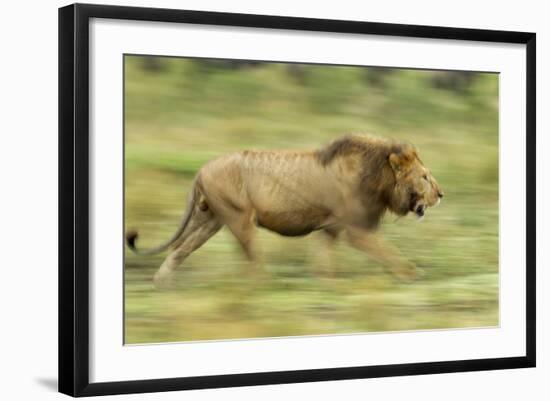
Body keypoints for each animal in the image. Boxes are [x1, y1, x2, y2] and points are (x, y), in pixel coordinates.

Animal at [126, 133, 444, 286]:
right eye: (425, 177)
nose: (441, 194)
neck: (379, 176)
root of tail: (201, 169)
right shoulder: (357, 230)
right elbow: (390, 253)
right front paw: (412, 274)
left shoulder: (332, 227)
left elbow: (322, 260)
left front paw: (328, 284)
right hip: (239, 218)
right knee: (252, 258)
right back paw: (265, 286)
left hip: (210, 219)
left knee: (179, 249)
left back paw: (161, 283)